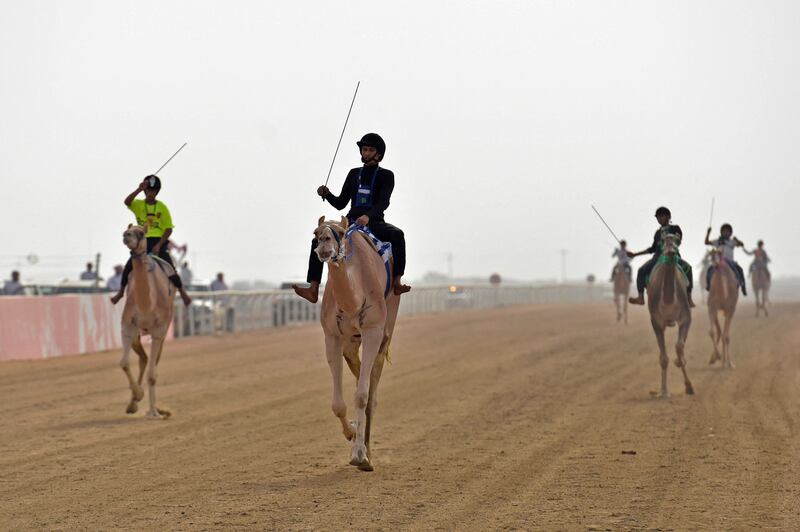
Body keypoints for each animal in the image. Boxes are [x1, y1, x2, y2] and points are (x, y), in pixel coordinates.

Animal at [118, 222, 174, 418]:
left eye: (141, 233)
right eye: (127, 229)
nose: (126, 235)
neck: (146, 304)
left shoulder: (158, 331)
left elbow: (152, 374)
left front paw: (154, 412)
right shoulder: (127, 327)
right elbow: (124, 363)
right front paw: (137, 396)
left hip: (163, 332)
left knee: (152, 363)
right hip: (138, 334)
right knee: (143, 359)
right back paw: (132, 403)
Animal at [312, 214, 400, 472]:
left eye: (340, 233)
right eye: (316, 233)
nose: (324, 246)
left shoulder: (372, 331)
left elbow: (361, 396)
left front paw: (359, 455)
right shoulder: (332, 337)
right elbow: (338, 404)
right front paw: (351, 433)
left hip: (385, 332)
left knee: (371, 391)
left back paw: (368, 454)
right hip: (351, 344)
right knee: (362, 375)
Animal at [644, 235, 692, 396]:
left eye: (677, 240)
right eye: (663, 240)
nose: (671, 250)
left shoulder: (686, 317)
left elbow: (679, 346)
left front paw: (689, 386)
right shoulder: (656, 322)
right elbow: (664, 358)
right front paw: (664, 391)